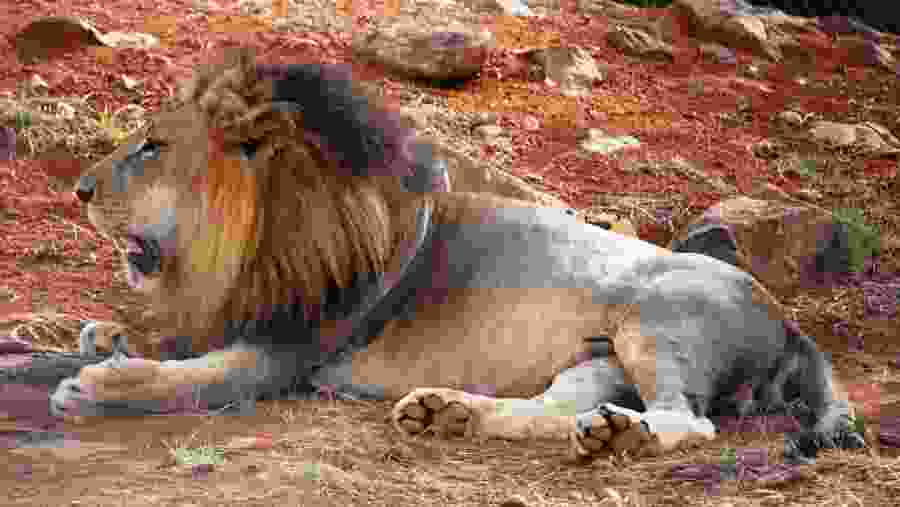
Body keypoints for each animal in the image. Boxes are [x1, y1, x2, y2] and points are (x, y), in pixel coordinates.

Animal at [52, 47, 865, 464]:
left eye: (152, 146)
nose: (79, 186)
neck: (247, 243)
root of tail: (791, 322)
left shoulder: (287, 347)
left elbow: (193, 379)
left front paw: (101, 383)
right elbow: (173, 336)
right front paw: (108, 334)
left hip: (652, 319)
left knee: (688, 422)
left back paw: (620, 434)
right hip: (599, 358)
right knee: (554, 410)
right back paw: (458, 416)